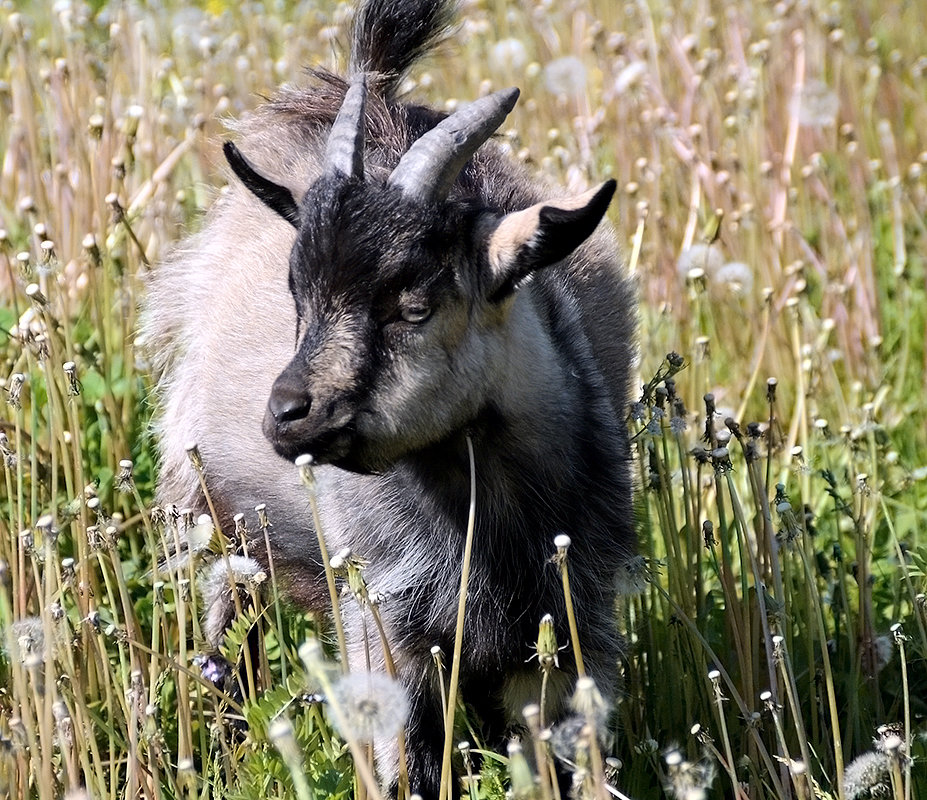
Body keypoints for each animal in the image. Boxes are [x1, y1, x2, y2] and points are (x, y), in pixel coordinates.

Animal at [145, 3, 640, 796]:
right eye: (297, 296)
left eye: (413, 308)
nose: (284, 415)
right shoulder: (384, 624)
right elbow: (406, 766)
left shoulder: (569, 628)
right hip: (212, 512)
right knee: (226, 630)